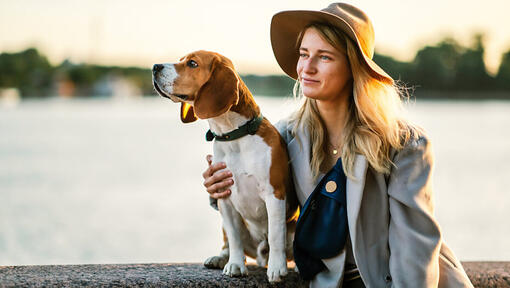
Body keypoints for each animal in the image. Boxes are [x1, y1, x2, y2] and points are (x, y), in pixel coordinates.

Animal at [151, 50, 296, 282]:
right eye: (181, 59)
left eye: (192, 63)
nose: (155, 66)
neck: (235, 136)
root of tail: (260, 253)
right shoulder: (224, 197)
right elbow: (235, 238)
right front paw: (235, 264)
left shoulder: (275, 194)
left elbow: (276, 235)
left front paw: (277, 267)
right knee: (229, 242)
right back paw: (220, 258)